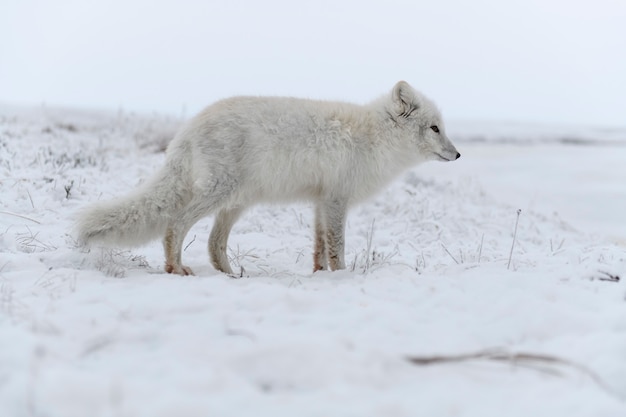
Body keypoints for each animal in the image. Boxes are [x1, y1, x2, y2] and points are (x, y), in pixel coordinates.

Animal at [77, 81, 458, 274]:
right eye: (435, 128)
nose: (457, 155)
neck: (374, 137)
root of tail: (188, 128)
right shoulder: (336, 199)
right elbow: (337, 246)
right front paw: (342, 276)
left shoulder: (321, 202)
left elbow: (319, 247)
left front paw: (321, 275)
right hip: (219, 194)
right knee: (176, 225)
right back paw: (176, 267)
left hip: (236, 203)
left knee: (213, 244)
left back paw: (229, 275)